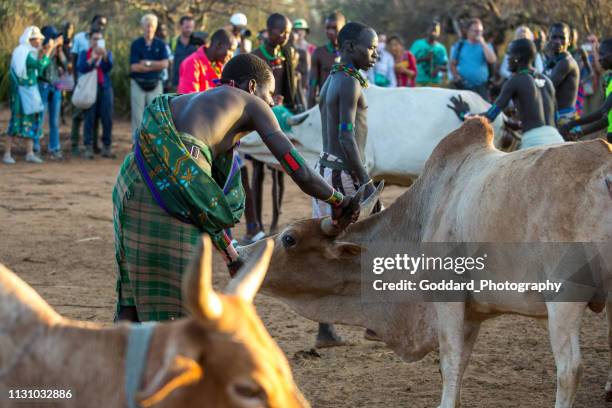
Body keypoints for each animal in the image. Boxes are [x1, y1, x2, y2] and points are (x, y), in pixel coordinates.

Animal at [240, 116, 612, 406]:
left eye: (289, 238)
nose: (241, 254)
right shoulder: (472, 310)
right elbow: (459, 362)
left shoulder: (447, 299)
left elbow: (450, 361)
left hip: (564, 298)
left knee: (570, 370)